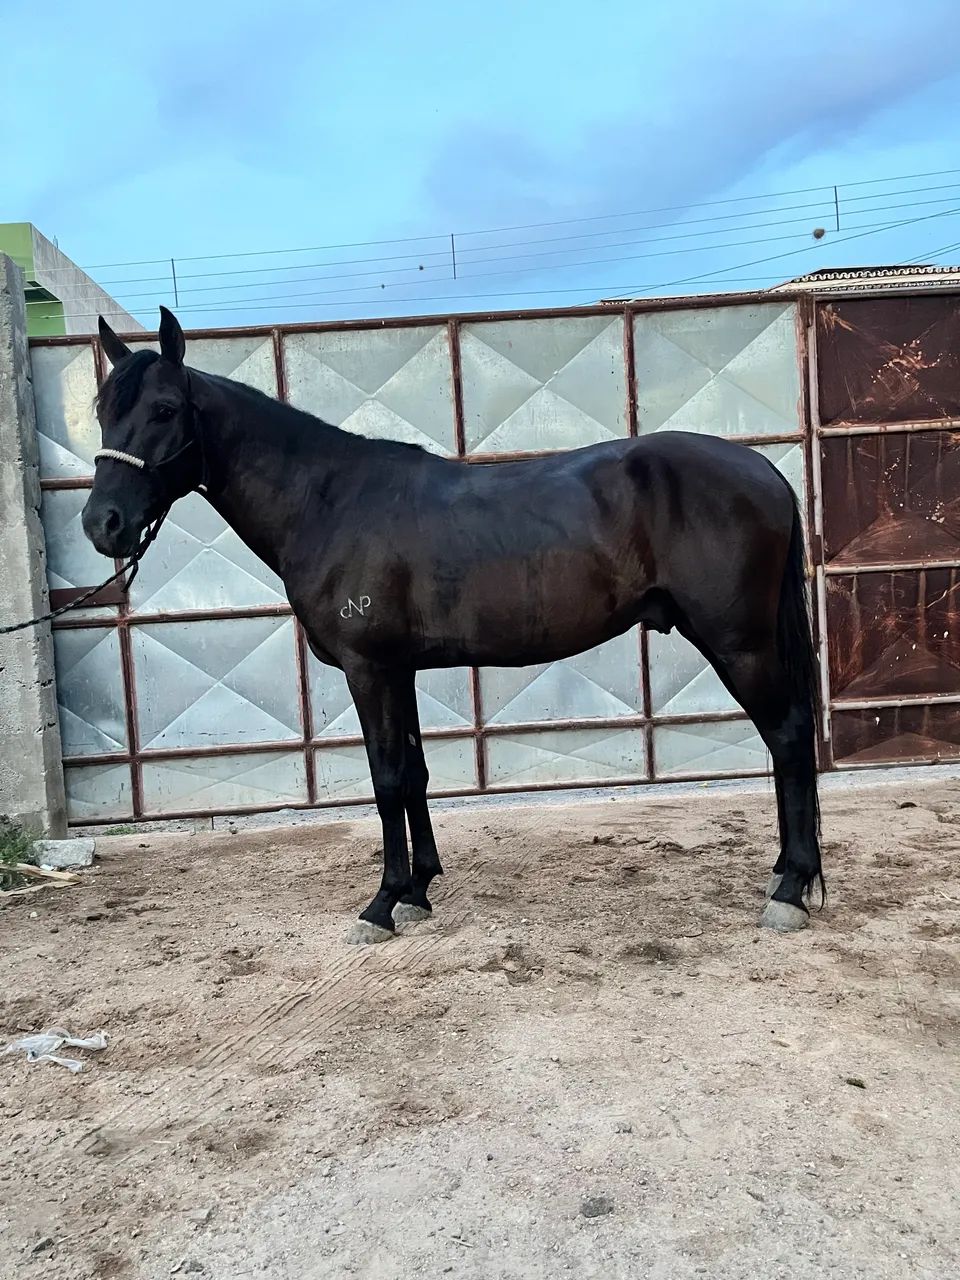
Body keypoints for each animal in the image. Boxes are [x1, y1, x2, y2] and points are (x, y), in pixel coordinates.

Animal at [83, 307, 824, 944]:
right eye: (102, 411)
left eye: (164, 409)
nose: (102, 524)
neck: (330, 501)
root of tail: (763, 468)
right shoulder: (400, 669)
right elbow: (413, 773)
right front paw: (417, 892)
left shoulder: (369, 669)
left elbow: (386, 778)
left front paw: (381, 905)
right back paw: (787, 877)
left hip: (739, 644)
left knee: (788, 738)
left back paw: (791, 891)